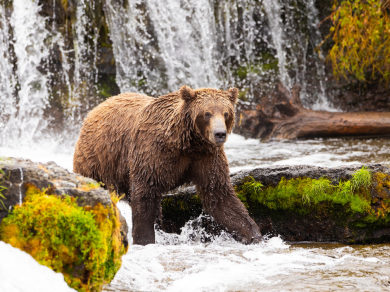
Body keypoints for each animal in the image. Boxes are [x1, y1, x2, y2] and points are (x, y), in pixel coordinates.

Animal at [73, 86, 262, 244]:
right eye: (207, 113)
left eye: (226, 113)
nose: (220, 134)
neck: (187, 143)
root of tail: (98, 107)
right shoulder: (152, 154)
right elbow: (144, 196)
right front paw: (145, 240)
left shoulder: (206, 158)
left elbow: (220, 196)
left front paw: (254, 234)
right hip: (99, 160)